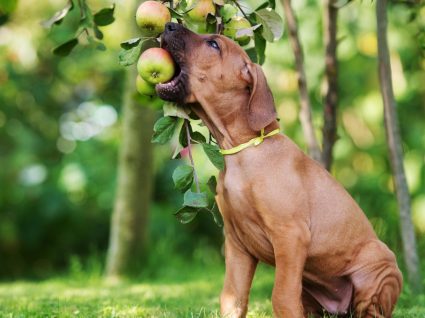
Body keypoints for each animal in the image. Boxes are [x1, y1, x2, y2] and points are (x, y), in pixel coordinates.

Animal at [157, 23, 402, 318]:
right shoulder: (237, 244)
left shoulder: (290, 236)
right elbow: (232, 298)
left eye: (214, 44)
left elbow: (281, 296)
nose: (169, 25)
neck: (244, 151)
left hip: (379, 268)